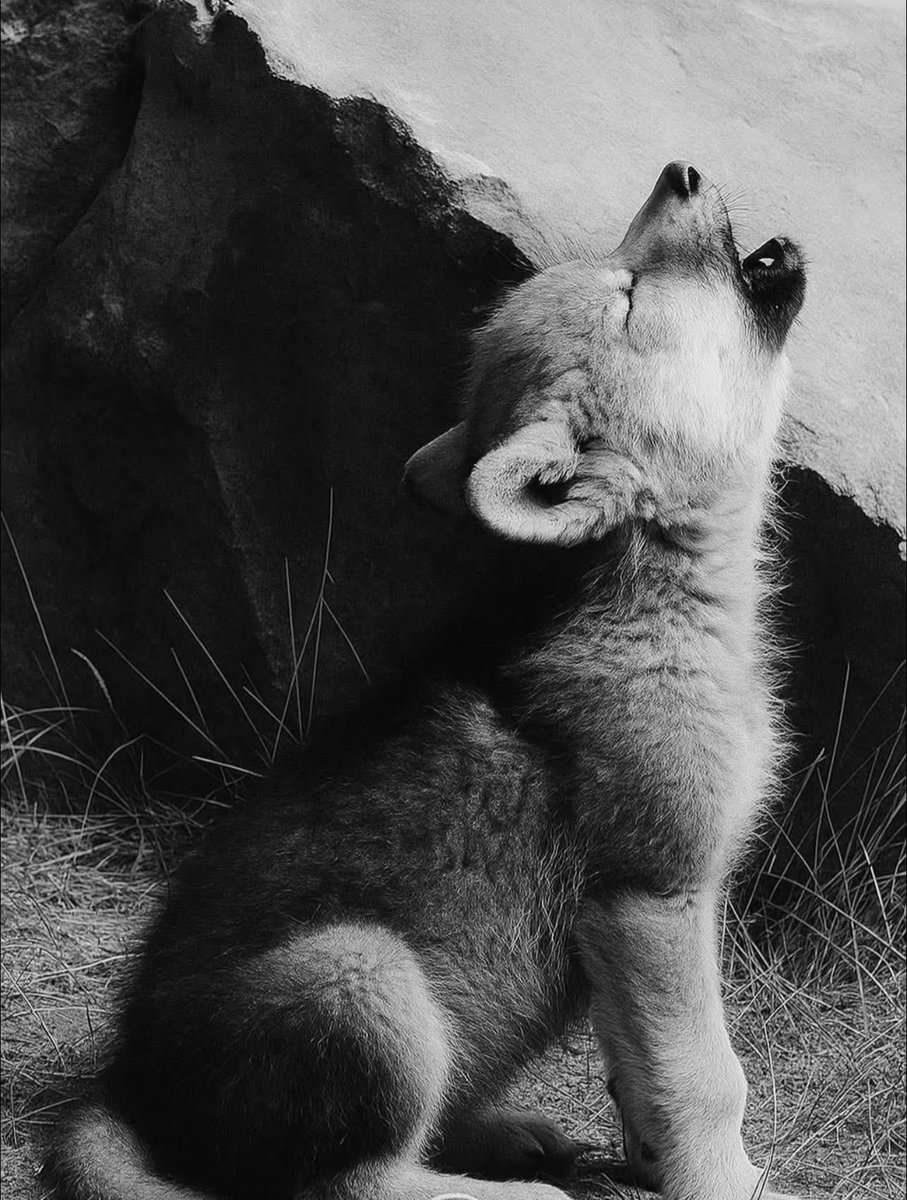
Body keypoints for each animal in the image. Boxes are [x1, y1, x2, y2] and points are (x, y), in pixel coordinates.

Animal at [46, 162, 806, 1200]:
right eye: (627, 294)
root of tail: (128, 1094)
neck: (659, 594)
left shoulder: (634, 926)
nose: (678, 171)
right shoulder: (651, 893)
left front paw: (654, 1165)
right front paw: (726, 1182)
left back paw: (504, 1135)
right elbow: (706, 1078)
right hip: (365, 973)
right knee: (346, 1181)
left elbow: (642, 1079)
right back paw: (510, 1190)